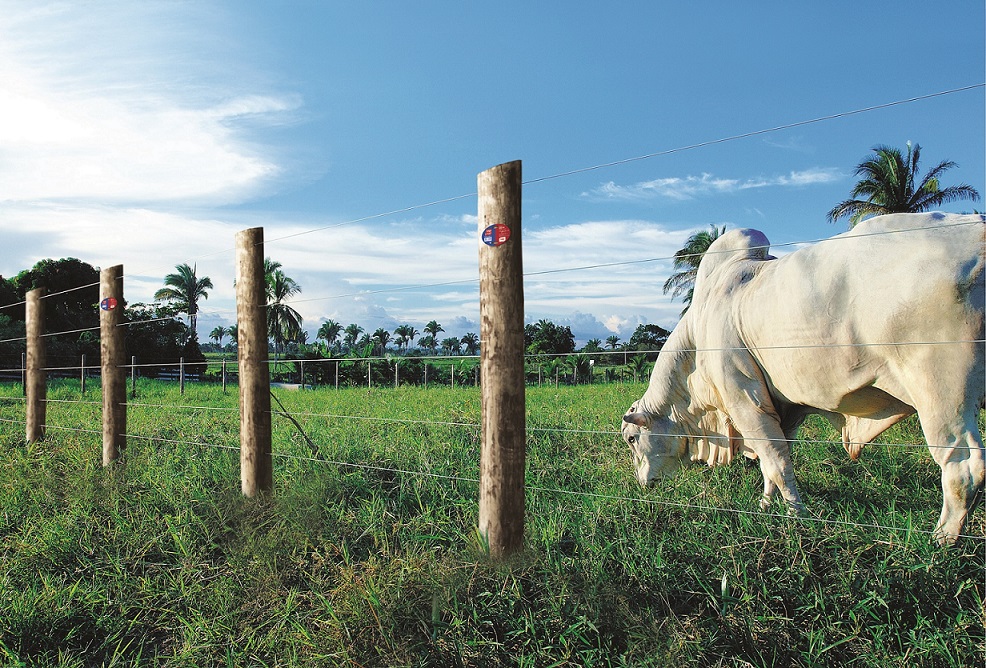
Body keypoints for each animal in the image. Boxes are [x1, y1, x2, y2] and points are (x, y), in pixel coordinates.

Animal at [624, 213, 984, 544]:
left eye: (631, 439)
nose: (642, 482)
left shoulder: (745, 402)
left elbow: (777, 463)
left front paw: (797, 515)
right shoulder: (786, 409)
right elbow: (772, 462)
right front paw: (766, 505)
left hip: (941, 390)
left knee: (964, 466)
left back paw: (943, 540)